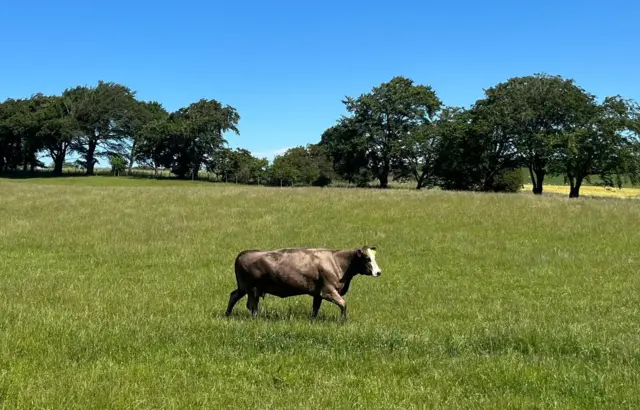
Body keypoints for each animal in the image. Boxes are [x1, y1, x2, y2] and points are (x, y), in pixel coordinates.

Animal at [224, 245, 382, 320]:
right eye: (367, 259)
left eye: (373, 257)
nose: (378, 272)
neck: (338, 262)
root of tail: (243, 254)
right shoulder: (328, 290)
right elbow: (343, 304)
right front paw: (343, 321)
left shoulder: (318, 293)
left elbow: (315, 309)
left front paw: (312, 320)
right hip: (252, 288)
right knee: (251, 305)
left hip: (244, 288)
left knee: (234, 296)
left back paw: (227, 315)